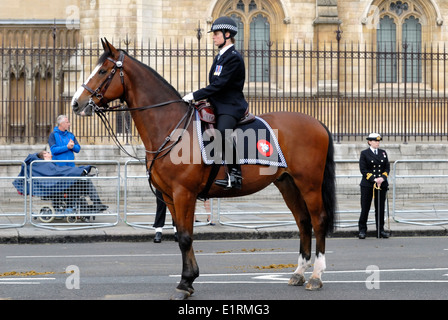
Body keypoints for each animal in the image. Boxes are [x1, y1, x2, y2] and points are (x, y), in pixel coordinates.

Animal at [71, 39, 336, 300]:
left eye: (103, 71)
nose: (76, 103)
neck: (172, 128)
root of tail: (317, 122)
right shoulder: (169, 195)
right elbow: (181, 235)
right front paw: (188, 281)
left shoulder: (184, 193)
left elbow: (186, 237)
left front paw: (185, 282)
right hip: (287, 183)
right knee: (303, 221)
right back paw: (299, 272)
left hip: (309, 184)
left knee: (318, 220)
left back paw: (316, 275)